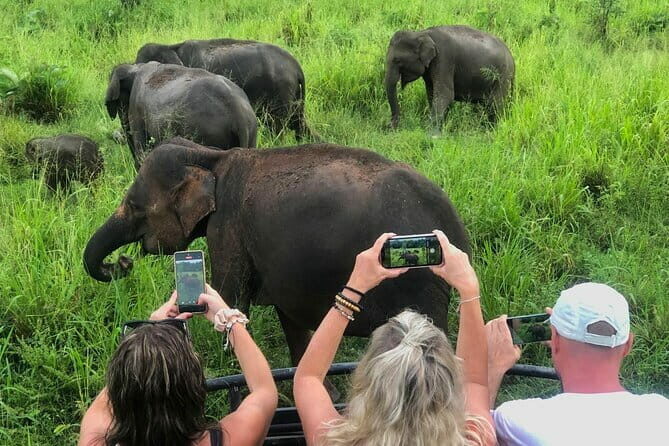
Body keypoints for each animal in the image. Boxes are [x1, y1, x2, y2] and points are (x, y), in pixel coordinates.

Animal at [83, 137, 470, 370]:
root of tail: (454, 223)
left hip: (420, 280)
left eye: (135, 206)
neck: (210, 156)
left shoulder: (227, 227)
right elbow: (289, 315)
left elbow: (231, 297)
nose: (123, 262)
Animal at [105, 62, 257, 168]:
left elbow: (142, 149)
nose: (116, 136)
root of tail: (238, 113)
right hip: (251, 133)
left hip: (205, 133)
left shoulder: (136, 108)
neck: (135, 67)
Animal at [135, 39, 315, 140]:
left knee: (278, 126)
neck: (171, 47)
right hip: (295, 95)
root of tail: (297, 67)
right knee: (298, 124)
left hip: (281, 91)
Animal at [385, 25, 515, 132]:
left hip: (502, 77)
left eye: (397, 60)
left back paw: (491, 131)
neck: (421, 33)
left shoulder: (444, 58)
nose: (391, 128)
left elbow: (445, 94)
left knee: (495, 105)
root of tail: (513, 60)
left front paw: (431, 133)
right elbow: (432, 93)